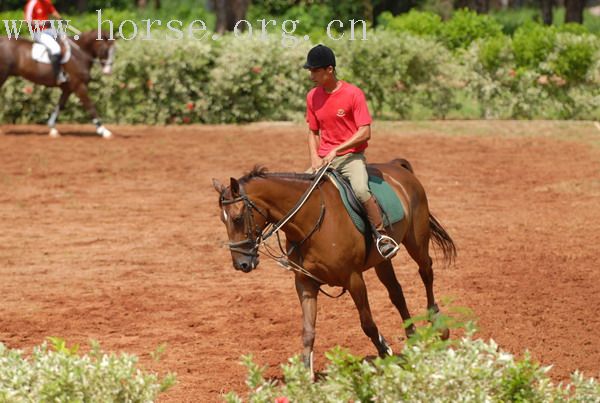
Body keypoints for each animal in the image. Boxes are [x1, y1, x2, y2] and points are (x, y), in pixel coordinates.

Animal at [213, 159, 458, 374]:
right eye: (222, 220)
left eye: (237, 218)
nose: (241, 264)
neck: (310, 221)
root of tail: (396, 167)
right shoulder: (305, 283)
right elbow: (308, 331)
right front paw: (305, 376)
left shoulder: (353, 279)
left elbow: (367, 323)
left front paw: (385, 351)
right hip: (382, 261)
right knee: (397, 294)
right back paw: (413, 338)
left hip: (416, 241)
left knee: (426, 272)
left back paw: (439, 326)